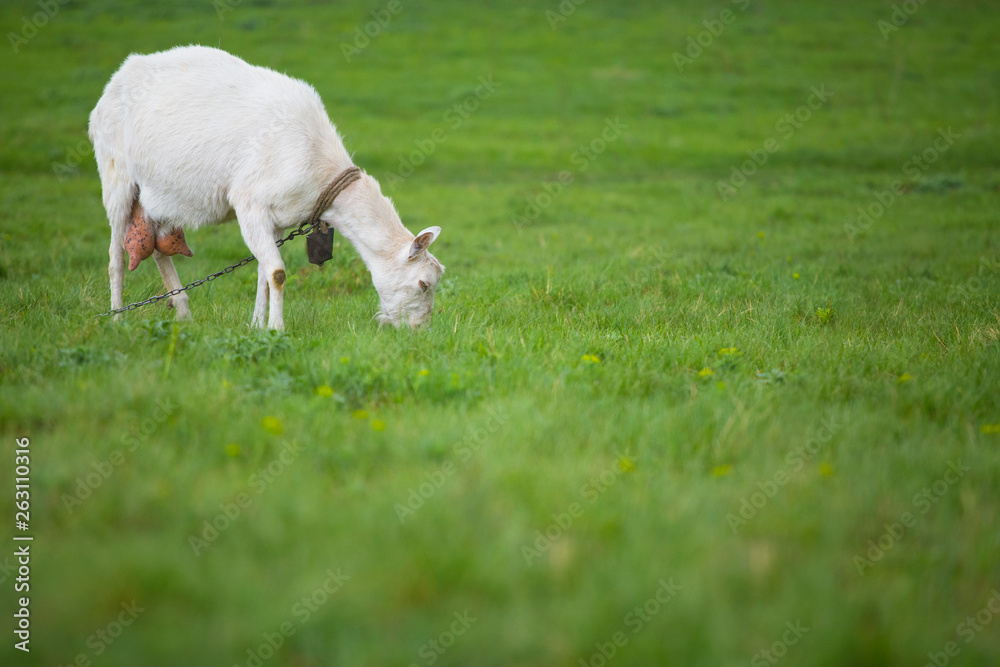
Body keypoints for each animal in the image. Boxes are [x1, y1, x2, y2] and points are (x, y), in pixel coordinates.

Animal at [89, 45, 443, 330]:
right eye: (423, 284)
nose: (418, 331)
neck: (319, 163)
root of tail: (114, 82)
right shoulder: (250, 204)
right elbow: (277, 272)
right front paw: (277, 328)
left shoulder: (277, 218)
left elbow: (262, 273)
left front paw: (257, 325)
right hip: (116, 175)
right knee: (115, 257)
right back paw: (117, 318)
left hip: (158, 198)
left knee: (158, 248)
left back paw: (184, 314)